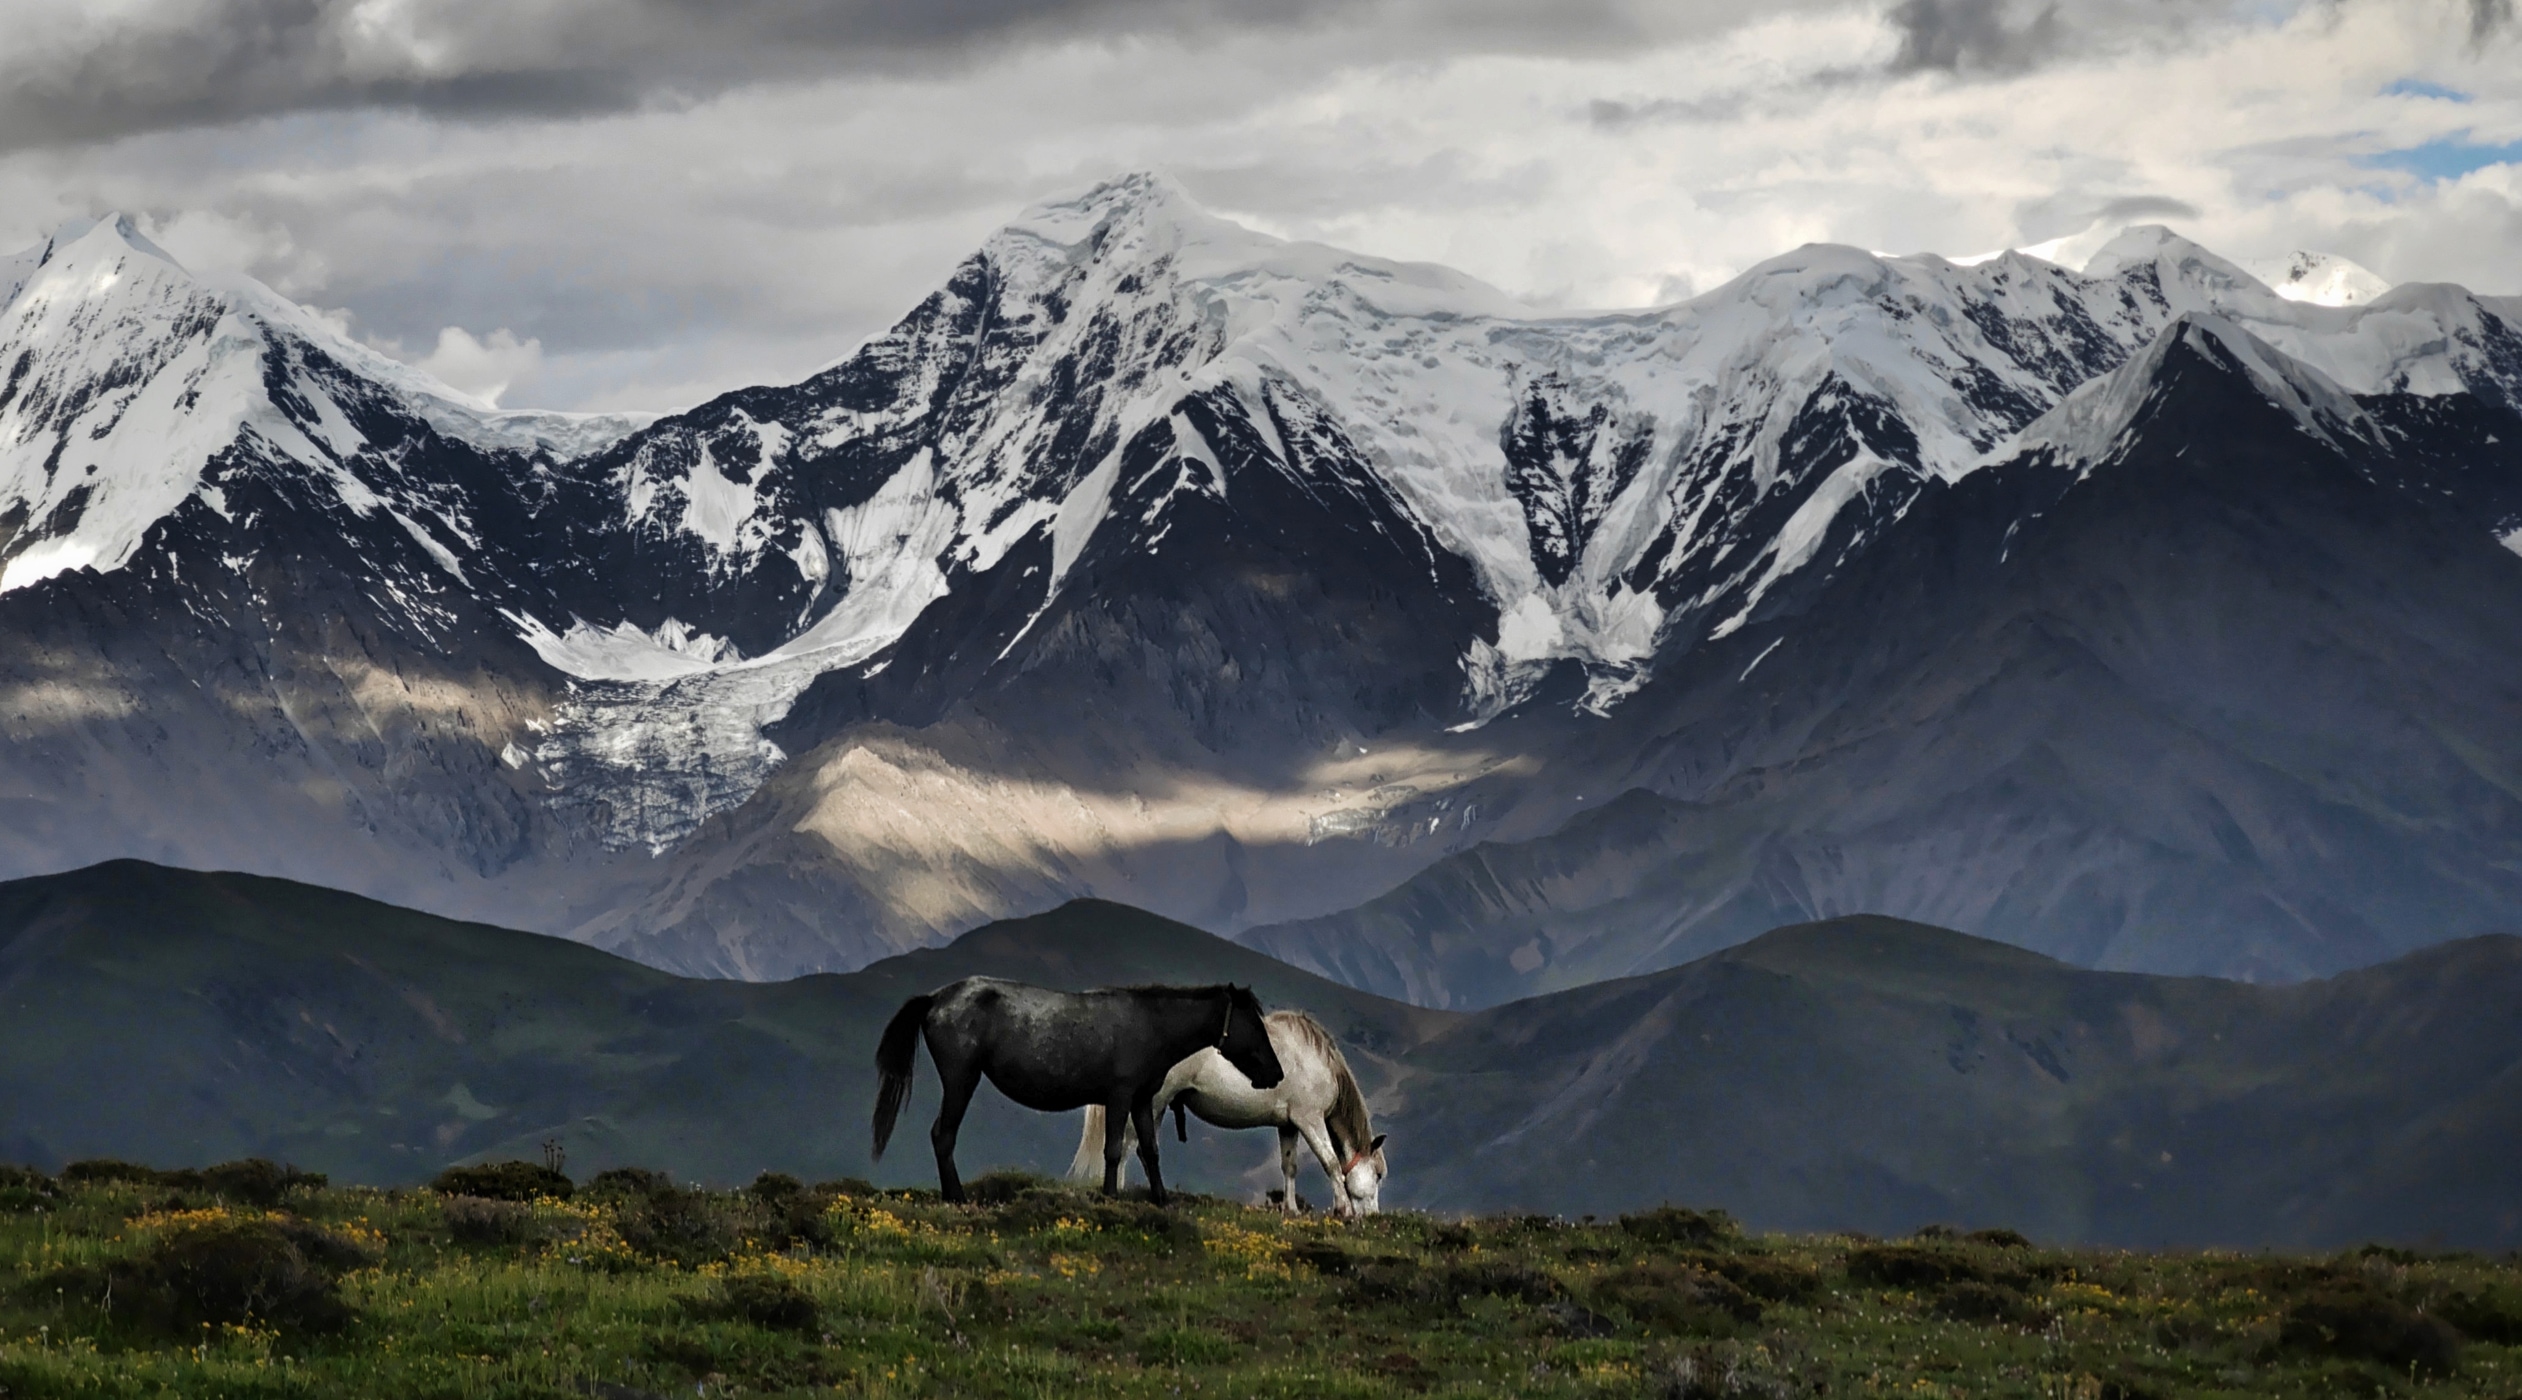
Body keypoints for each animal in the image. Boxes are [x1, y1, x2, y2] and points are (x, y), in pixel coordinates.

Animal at [877, 973, 1291, 1205]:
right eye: (1254, 1024)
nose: (1276, 1072)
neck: (1151, 1024)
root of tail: (935, 998)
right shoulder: (1120, 1096)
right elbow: (1113, 1150)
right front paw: (1109, 1197)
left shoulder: (1142, 1099)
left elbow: (1150, 1151)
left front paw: (1161, 1201)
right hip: (961, 1079)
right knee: (942, 1135)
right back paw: (957, 1197)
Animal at [1059, 1009, 1392, 1215]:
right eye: (1377, 1174)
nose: (1372, 1217)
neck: (1317, 1062)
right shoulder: (1309, 1120)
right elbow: (1331, 1162)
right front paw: (1343, 1210)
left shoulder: (1288, 1125)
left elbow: (1289, 1166)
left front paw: (1292, 1209)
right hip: (1151, 1102)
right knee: (1129, 1144)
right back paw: (1122, 1190)